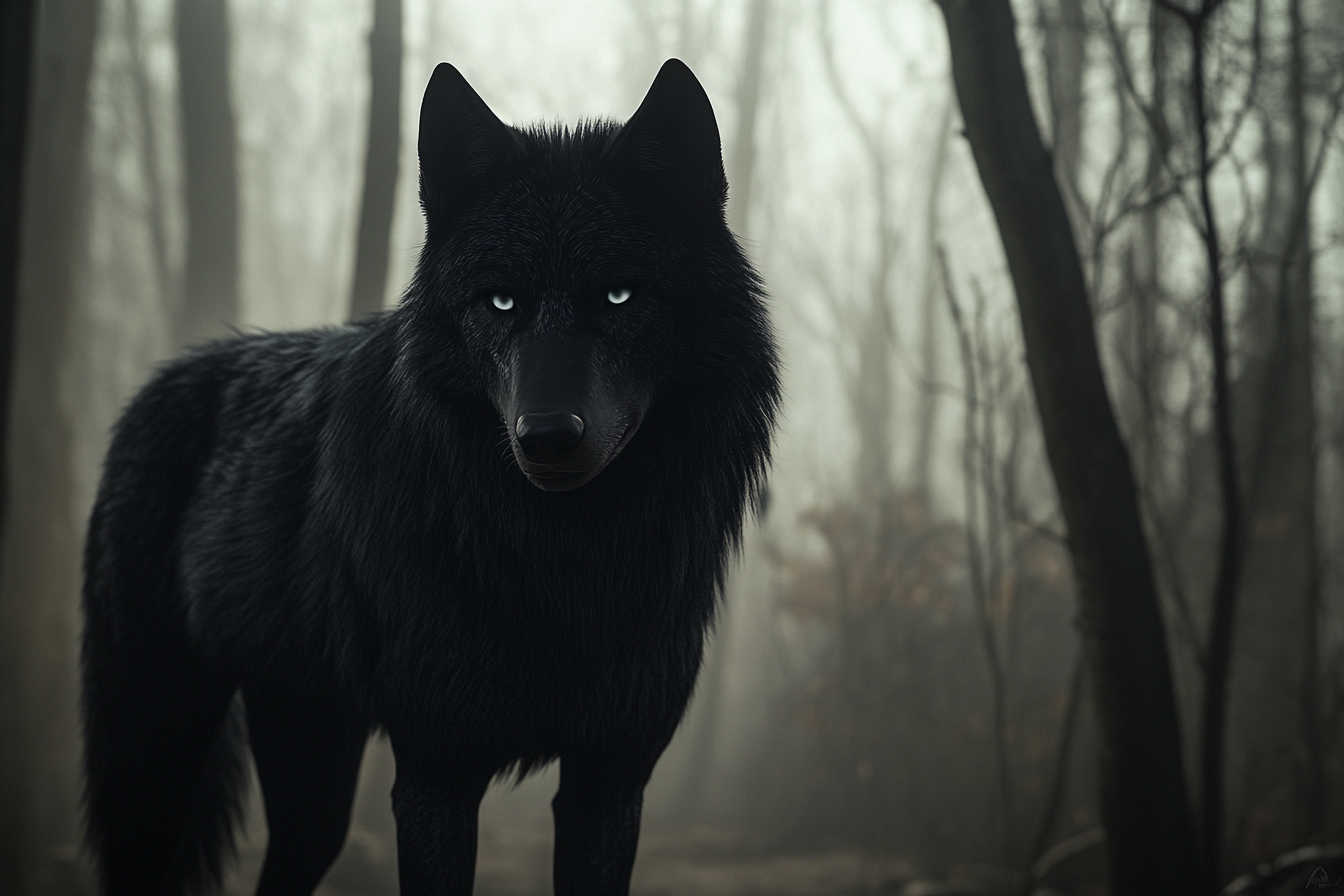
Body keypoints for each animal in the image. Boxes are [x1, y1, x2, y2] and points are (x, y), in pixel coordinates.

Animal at [79, 59, 779, 896]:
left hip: (313, 777)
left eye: (619, 293)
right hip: (156, 760)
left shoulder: (609, 783)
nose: (546, 438)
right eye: (499, 300)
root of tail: (163, 377)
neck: (567, 565)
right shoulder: (436, 775)